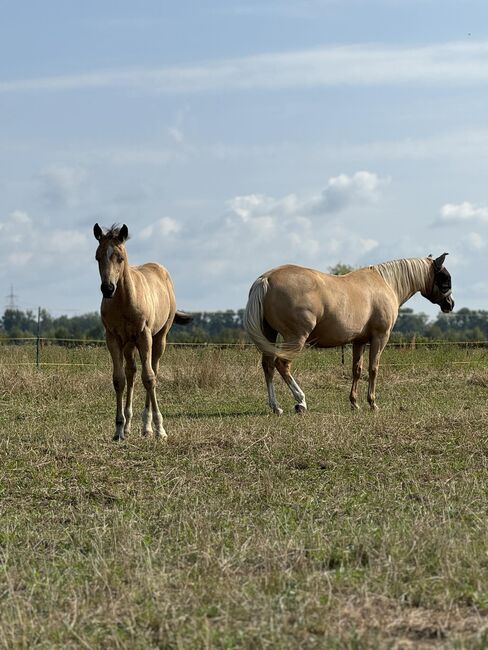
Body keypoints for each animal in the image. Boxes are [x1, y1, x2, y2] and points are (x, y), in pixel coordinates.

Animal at [92, 223, 192, 440]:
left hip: (158, 338)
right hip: (129, 344)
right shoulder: (112, 338)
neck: (124, 300)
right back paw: (129, 425)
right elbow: (118, 379)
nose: (107, 288)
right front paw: (118, 429)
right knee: (131, 372)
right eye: (97, 257)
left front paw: (159, 429)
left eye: (120, 257)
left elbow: (149, 378)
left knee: (152, 370)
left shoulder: (144, 335)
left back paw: (147, 427)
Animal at [244, 251, 454, 412]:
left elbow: (357, 370)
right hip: (295, 338)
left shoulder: (359, 341)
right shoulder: (380, 337)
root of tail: (266, 279)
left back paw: (275, 407)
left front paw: (354, 403)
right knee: (282, 364)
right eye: (445, 279)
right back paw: (300, 402)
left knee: (268, 366)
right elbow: (373, 368)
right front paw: (372, 403)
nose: (450, 304)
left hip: (270, 334)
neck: (386, 283)